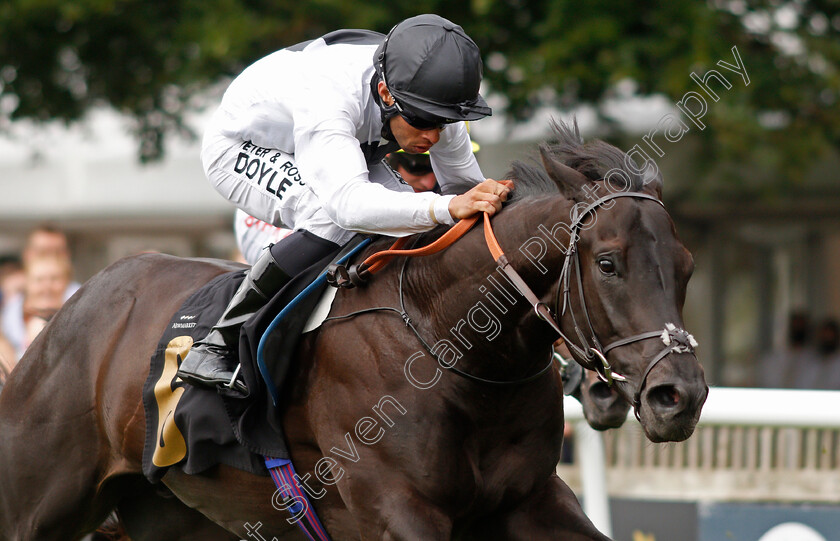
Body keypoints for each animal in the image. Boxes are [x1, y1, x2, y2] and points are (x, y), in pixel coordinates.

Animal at [0, 123, 704, 540]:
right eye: (608, 263)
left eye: (687, 266)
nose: (680, 396)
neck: (448, 343)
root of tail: (78, 304)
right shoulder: (397, 511)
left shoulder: (529, 500)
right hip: (39, 500)